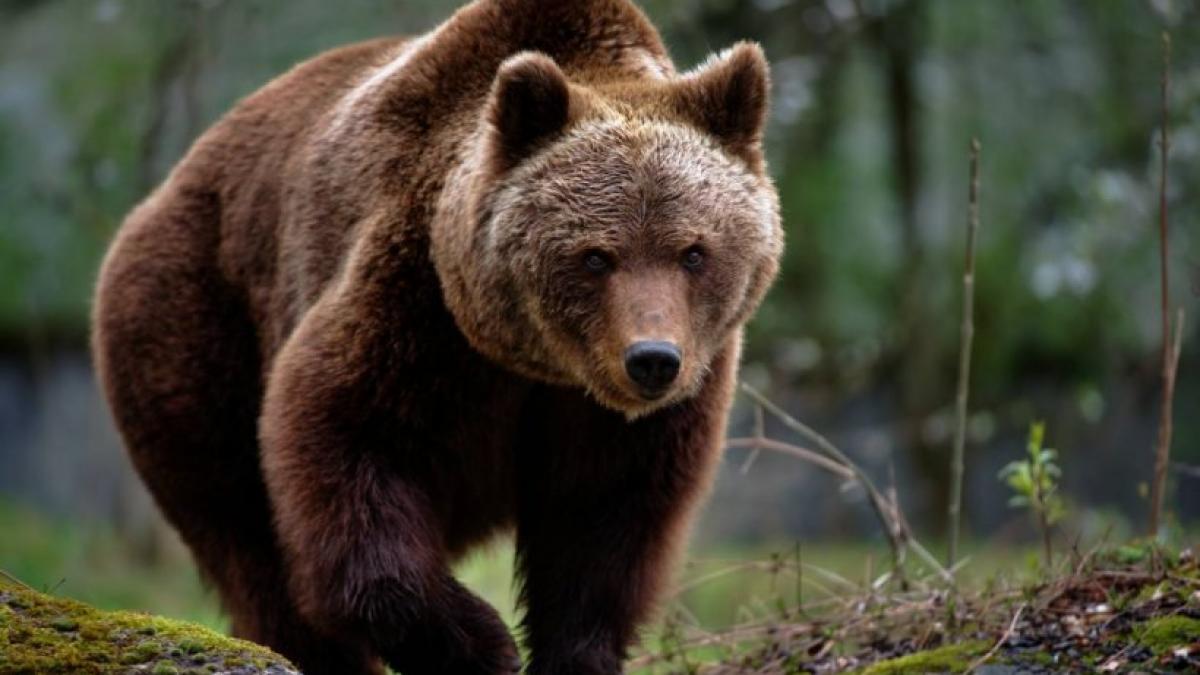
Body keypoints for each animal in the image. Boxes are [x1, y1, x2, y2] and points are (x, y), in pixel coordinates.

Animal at [96, 0, 787, 667]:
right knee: (243, 528)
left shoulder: (638, 408)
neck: (536, 363)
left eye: (693, 252)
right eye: (596, 256)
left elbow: (604, 521)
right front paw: (481, 642)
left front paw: (573, 652)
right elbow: (346, 441)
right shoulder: (417, 306)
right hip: (195, 322)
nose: (652, 359)